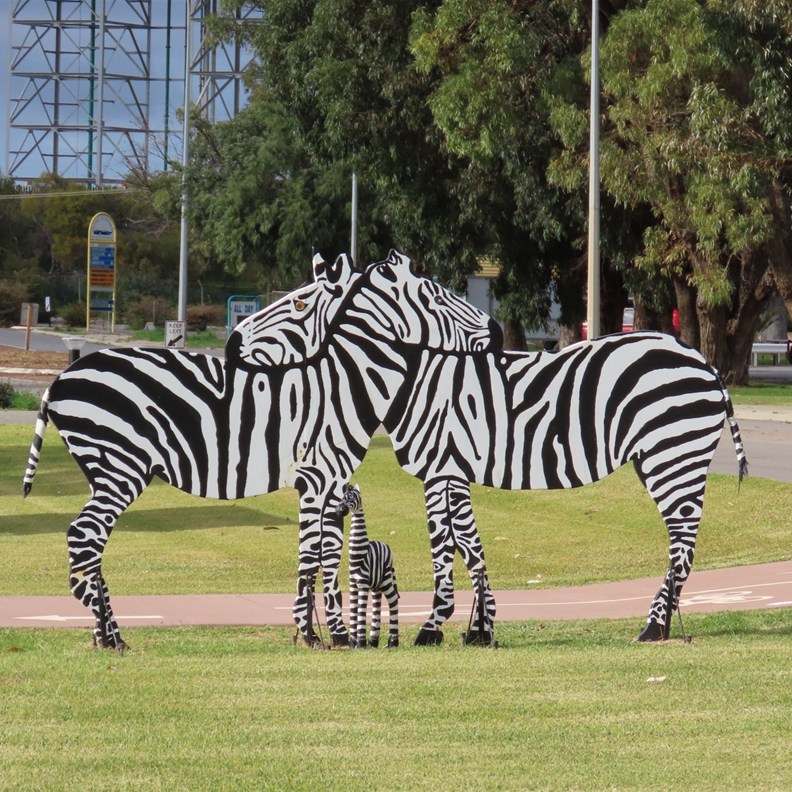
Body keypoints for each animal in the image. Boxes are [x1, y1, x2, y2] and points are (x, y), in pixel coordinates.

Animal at [333, 483, 399, 649]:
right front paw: (353, 643)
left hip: (387, 580)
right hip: (376, 586)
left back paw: (393, 642)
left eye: (352, 498)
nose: (339, 510)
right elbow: (353, 611)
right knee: (376, 606)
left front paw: (360, 644)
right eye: (342, 497)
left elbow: (361, 611)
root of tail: (385, 545)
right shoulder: (353, 585)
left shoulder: (362, 585)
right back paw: (373, 642)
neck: (359, 556)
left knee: (393, 601)